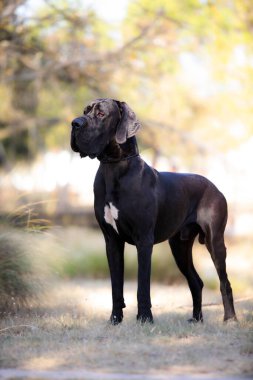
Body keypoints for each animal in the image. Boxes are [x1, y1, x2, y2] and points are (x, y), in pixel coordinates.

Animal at [71, 98, 237, 324]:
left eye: (101, 114)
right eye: (85, 110)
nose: (75, 123)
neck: (114, 167)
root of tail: (214, 186)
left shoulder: (144, 240)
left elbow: (143, 286)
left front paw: (144, 318)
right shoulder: (112, 241)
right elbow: (116, 286)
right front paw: (115, 319)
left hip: (215, 241)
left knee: (224, 282)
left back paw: (230, 319)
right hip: (179, 246)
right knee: (196, 281)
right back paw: (196, 319)